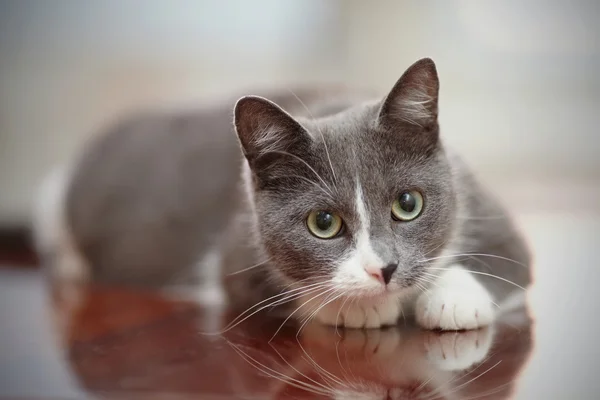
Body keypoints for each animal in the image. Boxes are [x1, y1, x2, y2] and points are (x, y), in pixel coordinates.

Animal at [32, 57, 528, 330]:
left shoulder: (475, 195)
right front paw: (354, 307)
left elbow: (510, 261)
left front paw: (454, 299)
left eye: (408, 204)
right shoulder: (236, 246)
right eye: (323, 223)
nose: (383, 269)